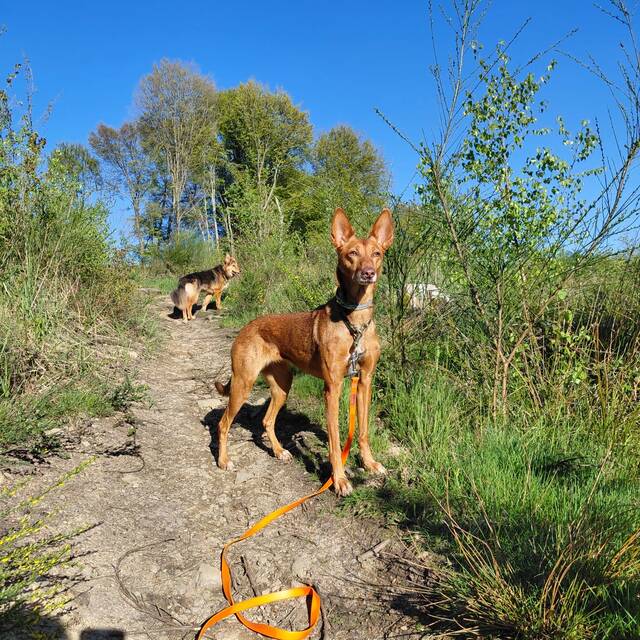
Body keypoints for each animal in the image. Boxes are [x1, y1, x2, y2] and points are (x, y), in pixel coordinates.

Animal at [214, 208, 393, 497]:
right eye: (352, 253)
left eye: (376, 253)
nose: (368, 273)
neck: (354, 321)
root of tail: (246, 327)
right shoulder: (332, 388)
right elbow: (334, 441)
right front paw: (339, 480)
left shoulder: (364, 381)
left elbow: (363, 430)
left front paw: (369, 463)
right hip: (243, 383)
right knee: (223, 423)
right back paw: (223, 460)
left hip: (282, 385)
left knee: (266, 421)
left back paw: (279, 451)